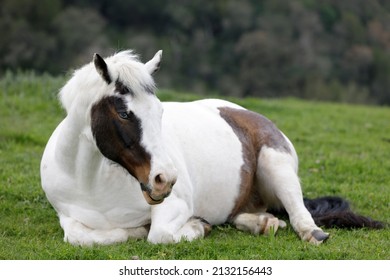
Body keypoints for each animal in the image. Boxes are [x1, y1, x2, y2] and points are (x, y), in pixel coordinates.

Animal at [40, 49, 384, 245]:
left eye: (160, 111)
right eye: (124, 113)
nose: (165, 180)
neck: (94, 182)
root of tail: (246, 113)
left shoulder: (175, 207)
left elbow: (158, 235)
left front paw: (197, 228)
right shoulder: (68, 217)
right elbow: (81, 237)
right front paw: (132, 231)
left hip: (277, 164)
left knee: (300, 214)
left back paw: (309, 233)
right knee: (245, 213)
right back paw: (261, 222)